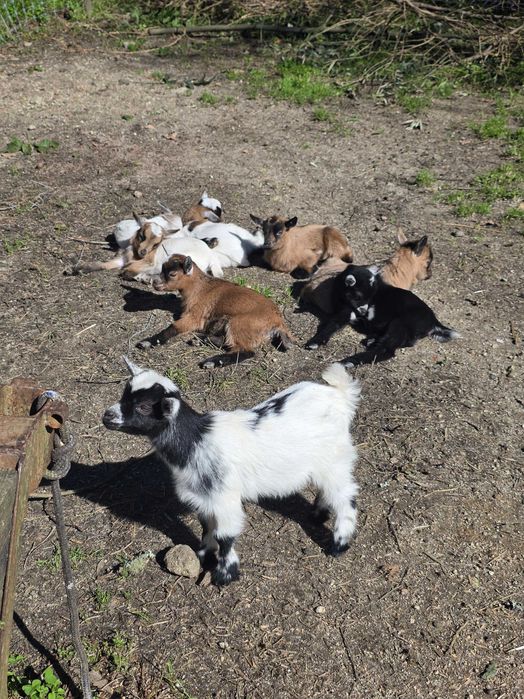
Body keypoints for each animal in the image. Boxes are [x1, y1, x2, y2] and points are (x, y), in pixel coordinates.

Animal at [103, 358, 360, 586]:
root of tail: (340, 395)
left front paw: (225, 574)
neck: (196, 440)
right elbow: (207, 526)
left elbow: (225, 536)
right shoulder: (204, 498)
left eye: (144, 407)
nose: (107, 416)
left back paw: (339, 544)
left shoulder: (224, 497)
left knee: (345, 497)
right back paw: (318, 515)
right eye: (124, 394)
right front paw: (203, 555)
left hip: (335, 459)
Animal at [136, 254, 294, 367]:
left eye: (173, 274)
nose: (155, 283)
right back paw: (200, 340)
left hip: (240, 324)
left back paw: (210, 362)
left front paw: (147, 342)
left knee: (246, 351)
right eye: (162, 268)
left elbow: (173, 327)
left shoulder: (195, 316)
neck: (199, 289)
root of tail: (278, 322)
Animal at [305, 264, 459, 366]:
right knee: (405, 342)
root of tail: (433, 321)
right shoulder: (347, 310)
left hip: (402, 323)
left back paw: (351, 360)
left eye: (371, 297)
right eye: (358, 297)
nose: (364, 313)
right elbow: (332, 324)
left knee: (387, 349)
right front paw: (314, 342)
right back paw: (371, 340)